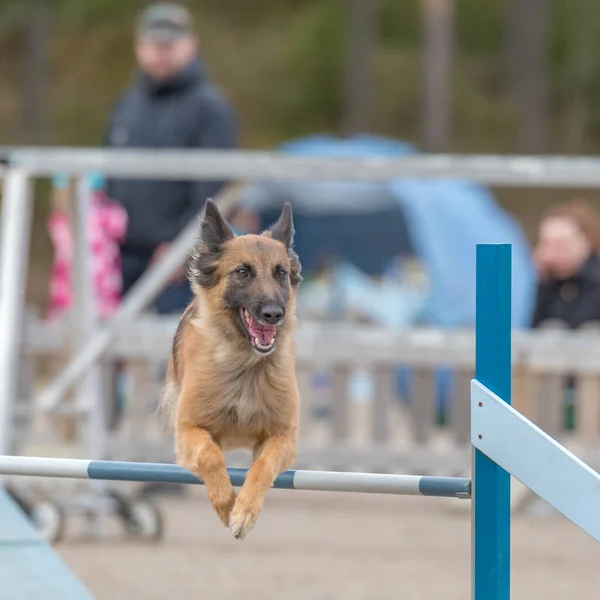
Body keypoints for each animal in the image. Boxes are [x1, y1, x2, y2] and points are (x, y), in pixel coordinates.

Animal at [159, 200, 302, 540]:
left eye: (280, 273)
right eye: (242, 272)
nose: (273, 314)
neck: (245, 366)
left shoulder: (282, 436)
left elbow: (262, 466)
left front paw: (244, 511)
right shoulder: (190, 430)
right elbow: (210, 456)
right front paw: (226, 505)